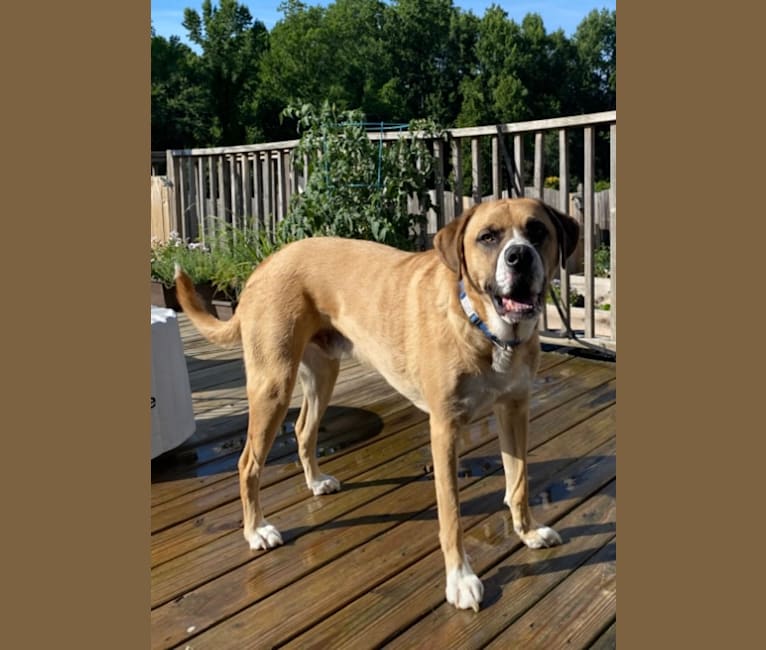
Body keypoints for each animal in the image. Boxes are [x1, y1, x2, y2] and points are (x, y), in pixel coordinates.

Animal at [176, 196, 584, 608]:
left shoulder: (514, 410)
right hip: (273, 384)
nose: (520, 256)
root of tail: (265, 263)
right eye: (488, 237)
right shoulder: (445, 428)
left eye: (537, 231)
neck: (485, 329)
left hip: (322, 374)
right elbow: (451, 513)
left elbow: (519, 483)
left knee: (304, 429)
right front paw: (460, 578)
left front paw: (528, 532)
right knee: (248, 463)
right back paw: (256, 530)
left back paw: (316, 481)